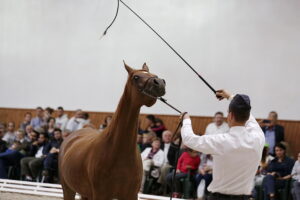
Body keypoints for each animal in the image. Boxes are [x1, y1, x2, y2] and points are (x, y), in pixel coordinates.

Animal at [58, 61, 166, 199]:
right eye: (136, 77)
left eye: (154, 74)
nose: (159, 83)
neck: (117, 150)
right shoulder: (100, 195)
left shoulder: (131, 195)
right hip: (68, 189)